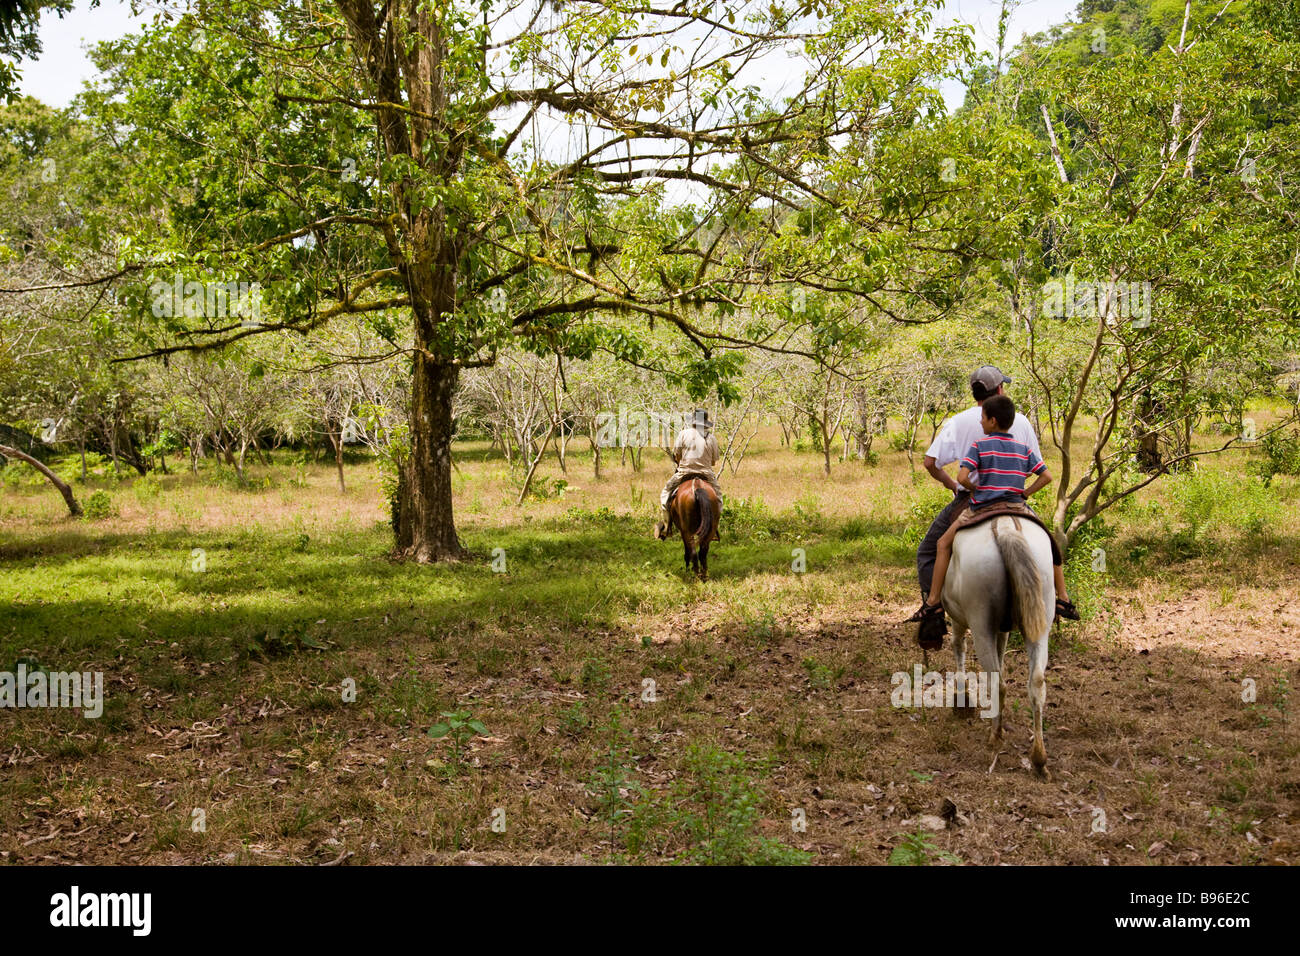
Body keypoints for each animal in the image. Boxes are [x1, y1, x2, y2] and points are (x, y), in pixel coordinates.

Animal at [946, 515, 1055, 780]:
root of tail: (1005, 527)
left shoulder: (958, 618)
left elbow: (958, 646)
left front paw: (961, 699)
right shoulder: (1004, 628)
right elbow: (1001, 651)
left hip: (980, 622)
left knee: (997, 682)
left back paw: (994, 740)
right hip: (1041, 612)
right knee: (1037, 682)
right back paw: (1039, 760)